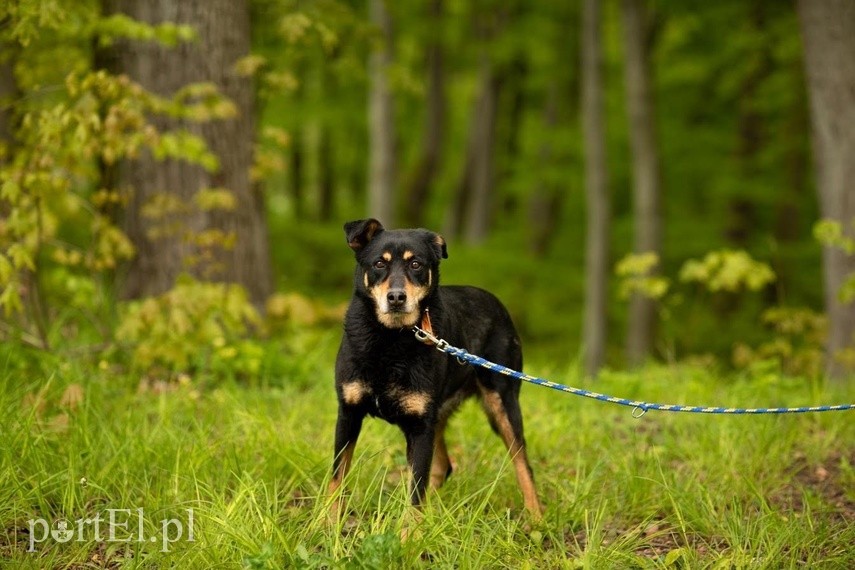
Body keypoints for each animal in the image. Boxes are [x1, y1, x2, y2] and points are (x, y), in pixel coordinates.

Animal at [328, 217, 540, 520]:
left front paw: (409, 533)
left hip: (502, 403)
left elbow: (415, 492)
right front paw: (327, 522)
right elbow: (337, 477)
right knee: (444, 466)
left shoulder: (420, 427)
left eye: (416, 264)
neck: (390, 339)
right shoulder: (348, 413)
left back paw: (536, 518)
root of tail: (497, 303)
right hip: (439, 415)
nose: (396, 297)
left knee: (522, 463)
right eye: (379, 263)